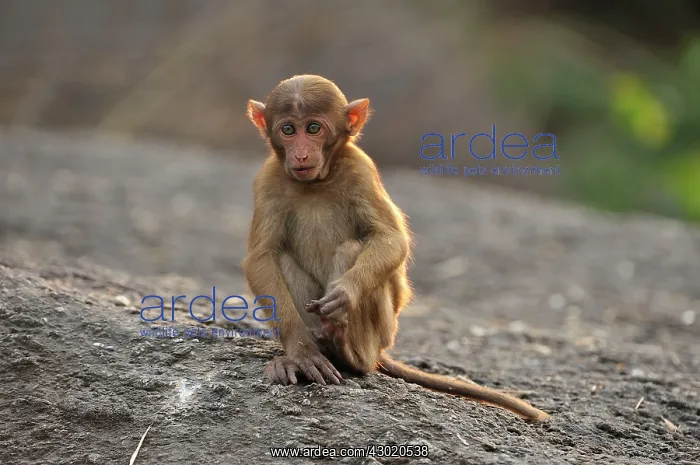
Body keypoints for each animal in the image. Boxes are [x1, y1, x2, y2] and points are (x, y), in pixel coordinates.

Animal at [241, 74, 550, 422]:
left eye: (313, 128)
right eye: (288, 130)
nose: (301, 155)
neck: (316, 183)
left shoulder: (361, 170)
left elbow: (390, 239)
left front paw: (345, 292)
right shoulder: (267, 180)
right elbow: (262, 258)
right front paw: (301, 352)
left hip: (383, 331)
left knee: (350, 252)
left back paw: (347, 349)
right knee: (283, 261)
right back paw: (312, 353)